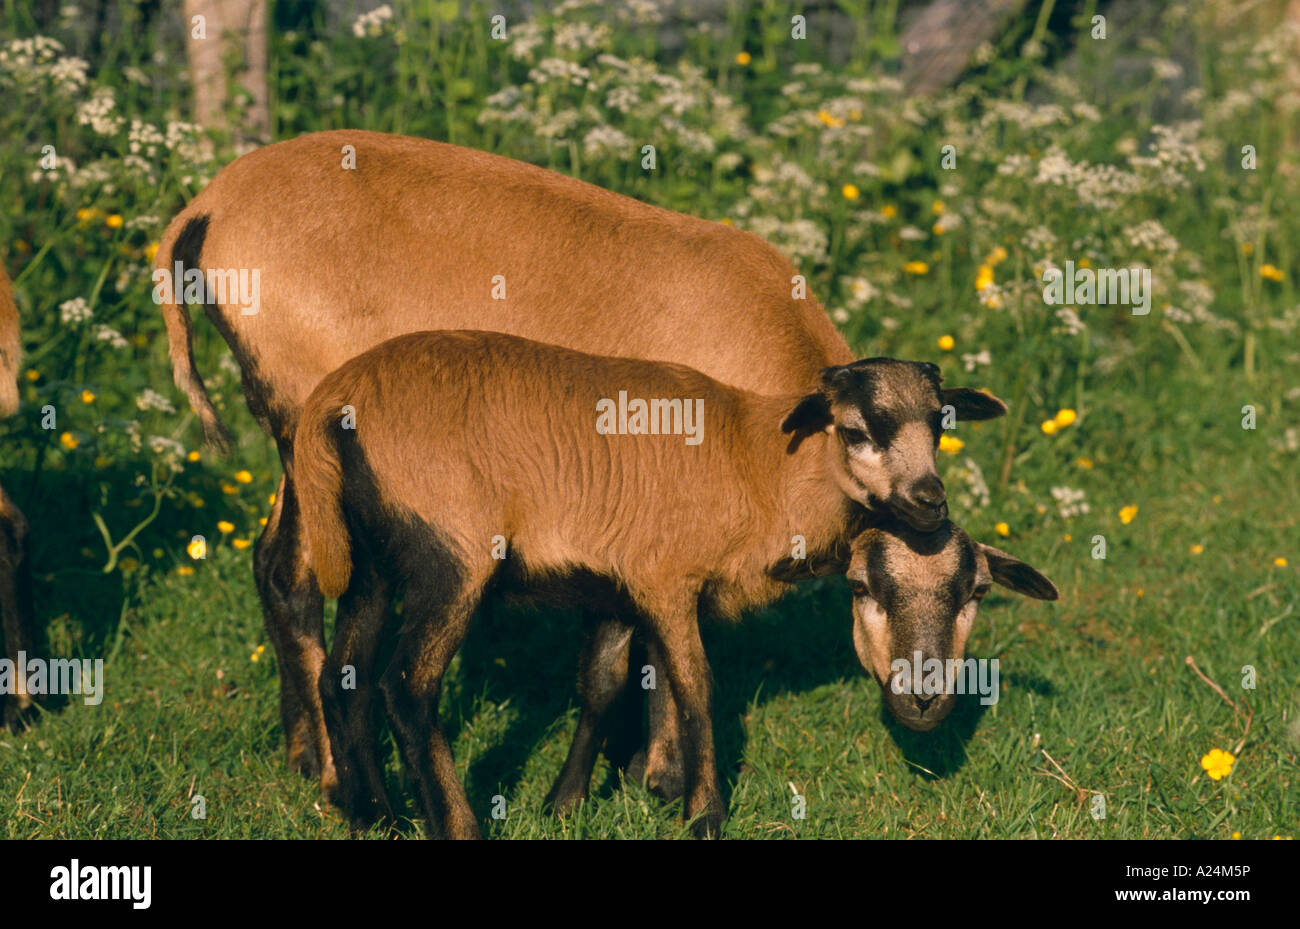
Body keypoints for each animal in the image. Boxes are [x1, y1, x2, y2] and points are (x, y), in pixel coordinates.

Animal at [292, 330, 1012, 838]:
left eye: (940, 425)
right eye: (858, 430)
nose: (930, 503)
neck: (761, 465)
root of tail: (330, 405)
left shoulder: (618, 583)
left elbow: (603, 685)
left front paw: (564, 804)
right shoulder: (667, 578)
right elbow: (695, 688)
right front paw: (704, 813)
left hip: (372, 557)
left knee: (344, 676)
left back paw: (376, 816)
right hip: (451, 552)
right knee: (406, 686)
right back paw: (455, 824)